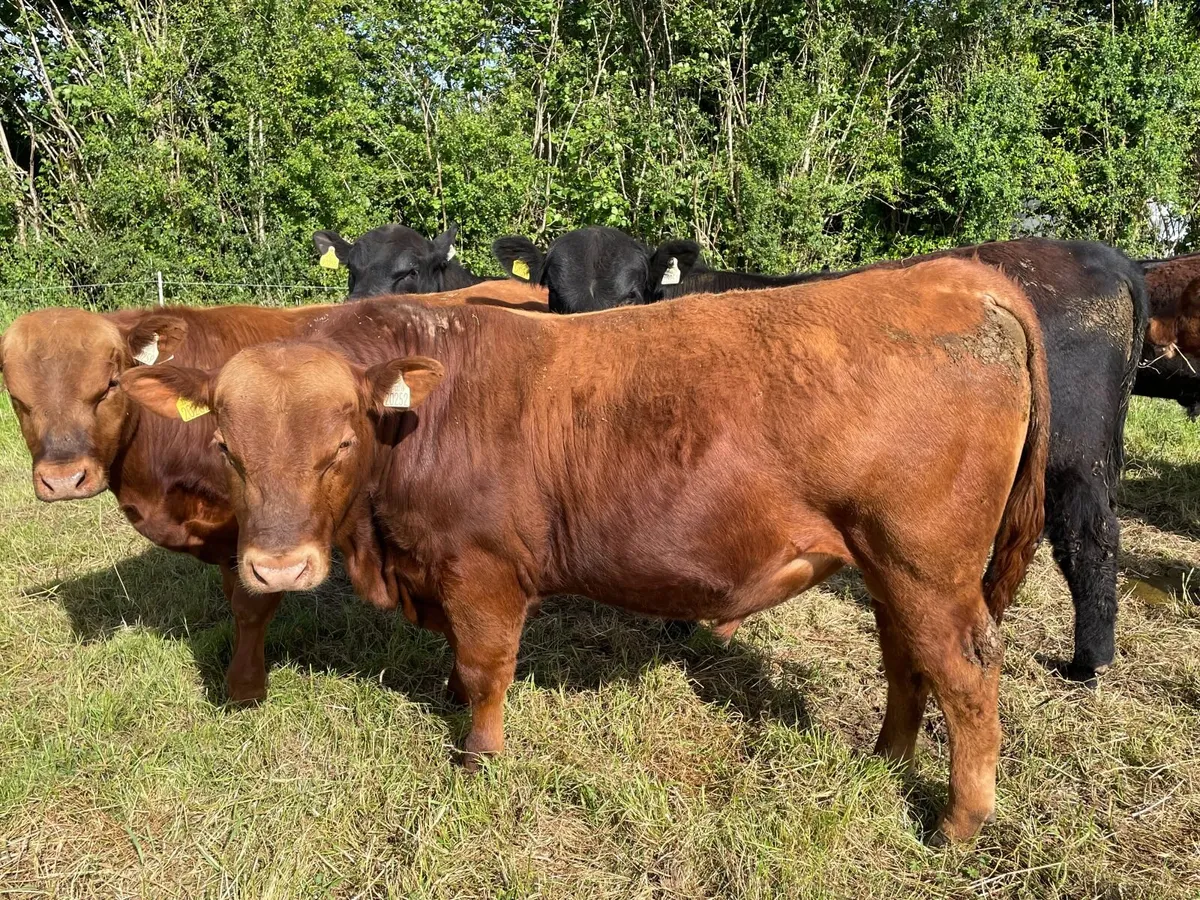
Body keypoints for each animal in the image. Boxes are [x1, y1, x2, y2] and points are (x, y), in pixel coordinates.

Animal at [123, 258, 1051, 842]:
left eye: (339, 444)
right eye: (228, 449)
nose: (278, 568)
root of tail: (948, 277)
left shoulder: (484, 570)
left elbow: (485, 667)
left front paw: (479, 758)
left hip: (927, 564)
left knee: (966, 668)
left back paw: (960, 821)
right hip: (889, 562)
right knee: (906, 655)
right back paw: (885, 755)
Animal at [498, 230, 1145, 683]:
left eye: (631, 295)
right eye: (555, 294)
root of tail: (1102, 256)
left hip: (1074, 457)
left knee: (1089, 538)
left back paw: (1088, 662)